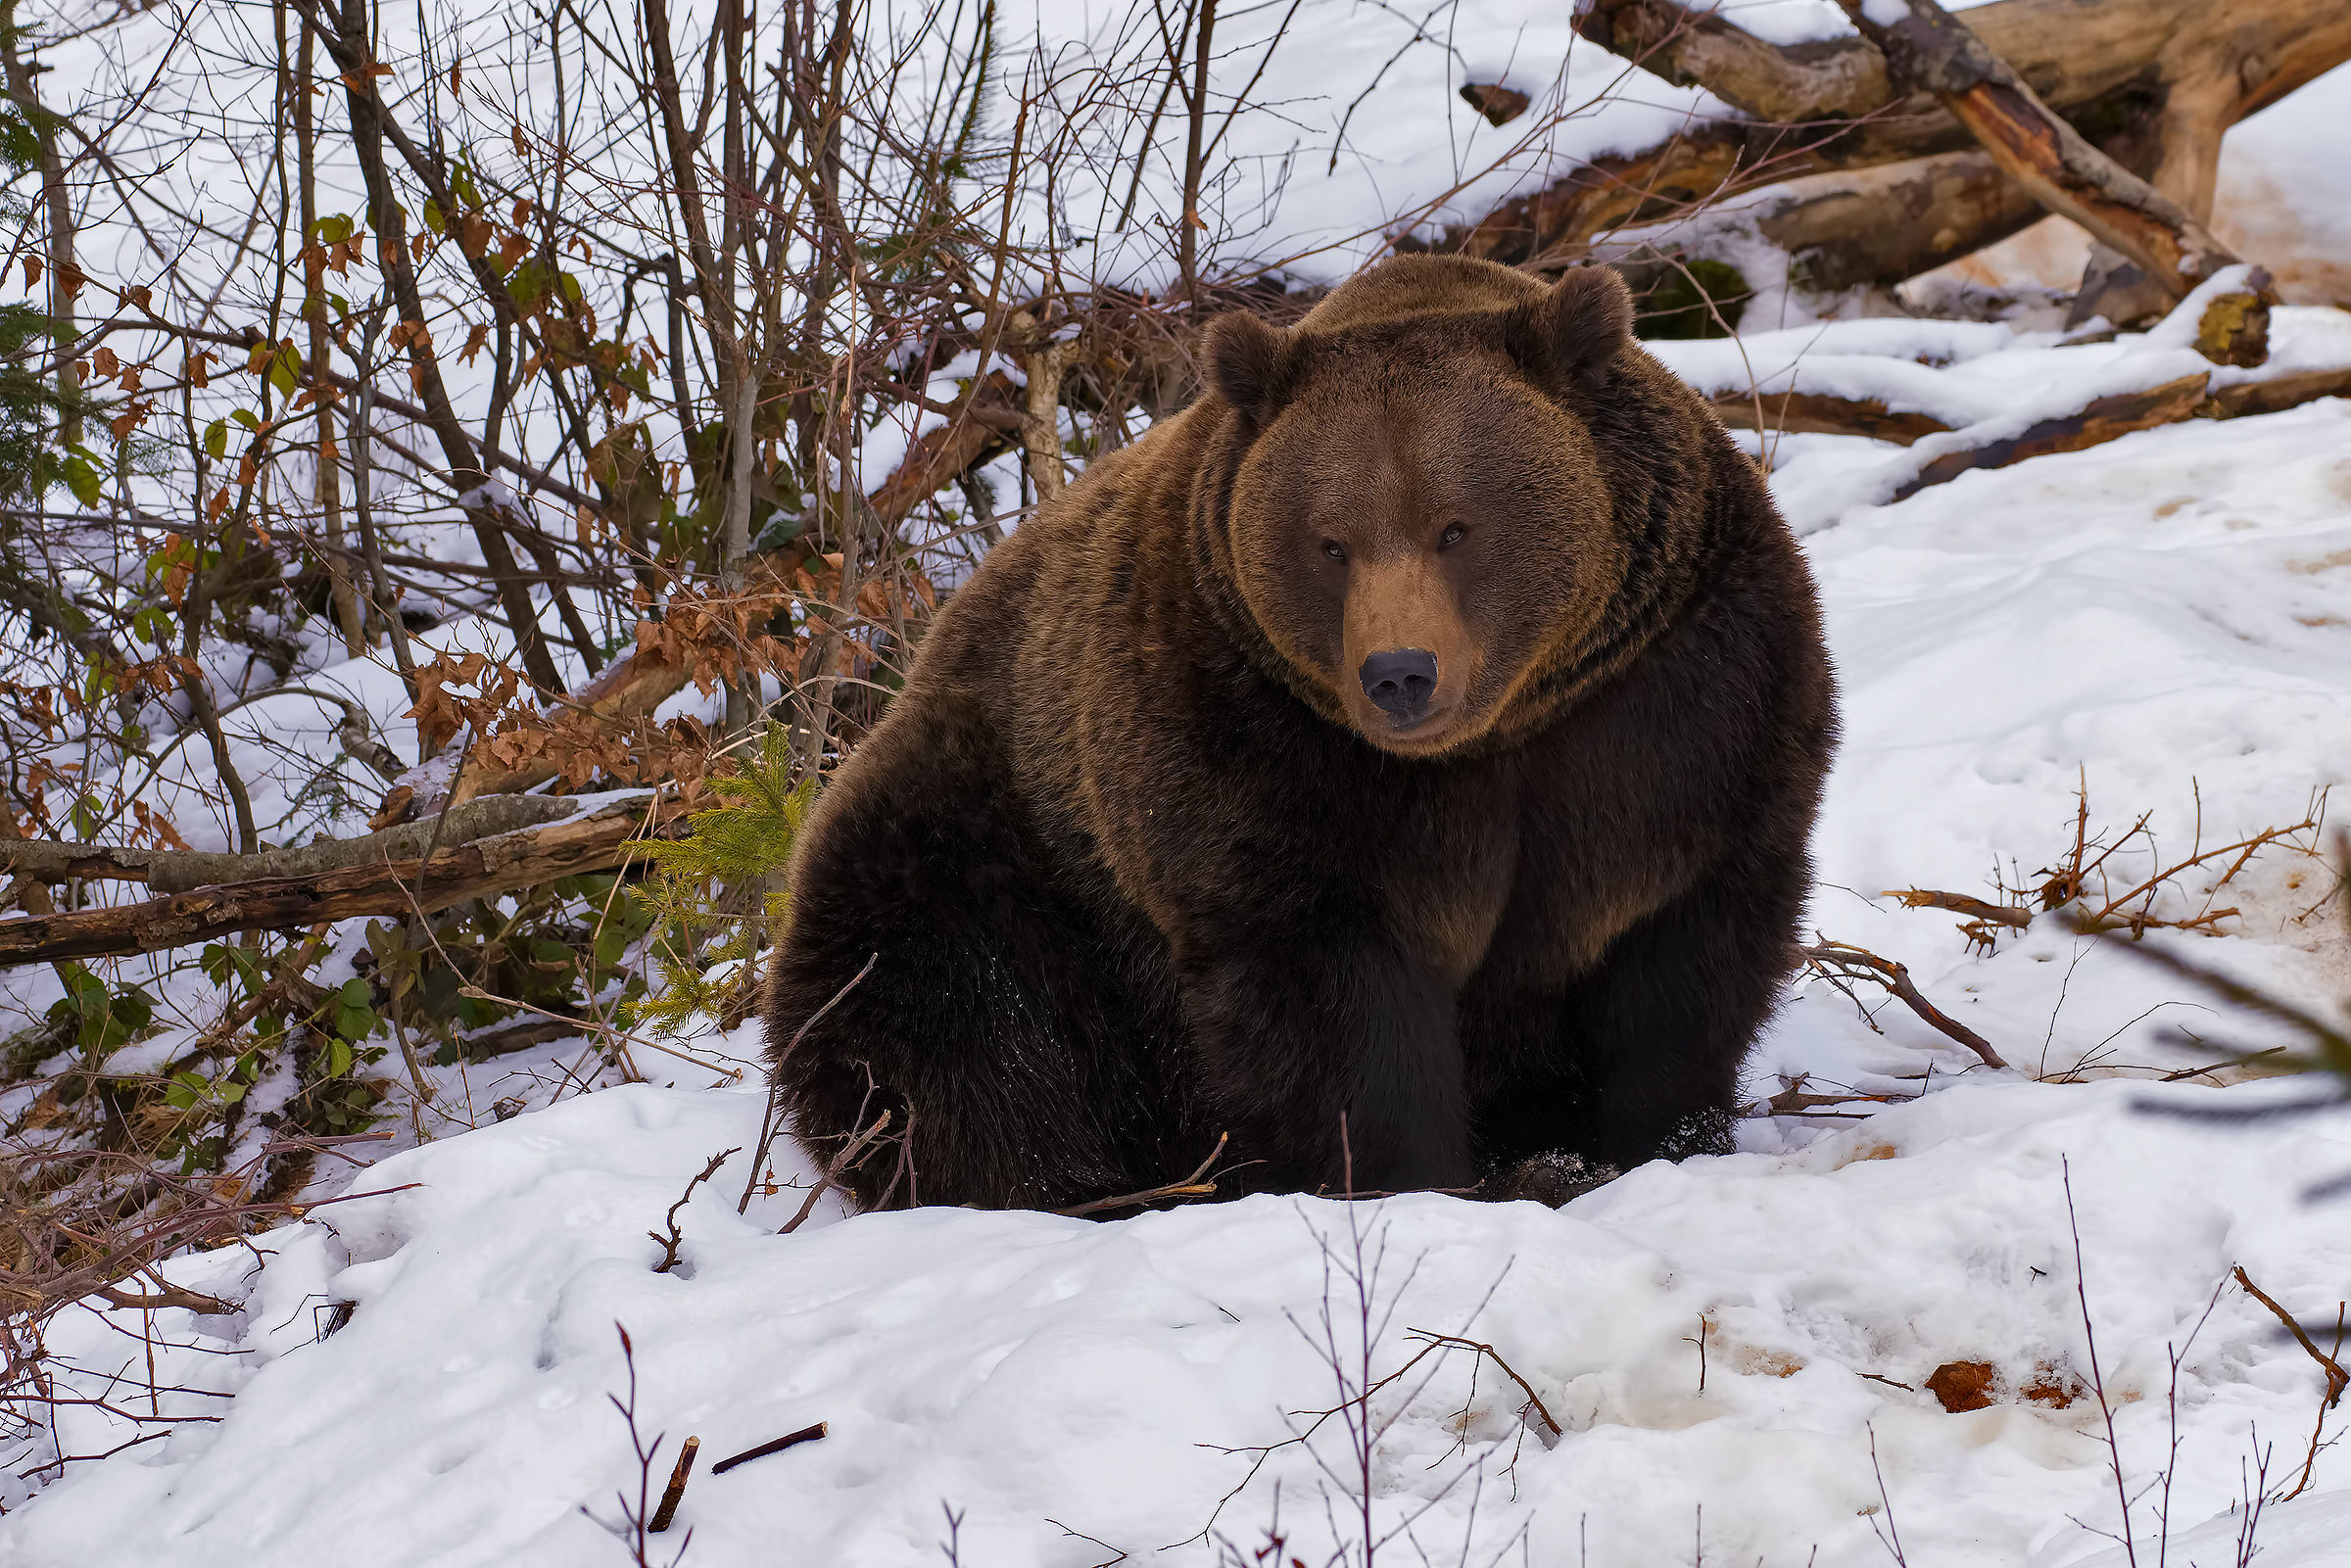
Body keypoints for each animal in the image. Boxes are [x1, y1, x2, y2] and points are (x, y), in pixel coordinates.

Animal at [763, 253, 1837, 1211]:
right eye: (1332, 542)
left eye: (1456, 526)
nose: (1399, 673)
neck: (1495, 735)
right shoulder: (1247, 737)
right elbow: (1326, 989)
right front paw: (1419, 1175)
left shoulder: (1674, 698)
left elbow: (1680, 945)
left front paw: (1657, 1139)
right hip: (989, 856)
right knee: (952, 1029)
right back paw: (1086, 1186)